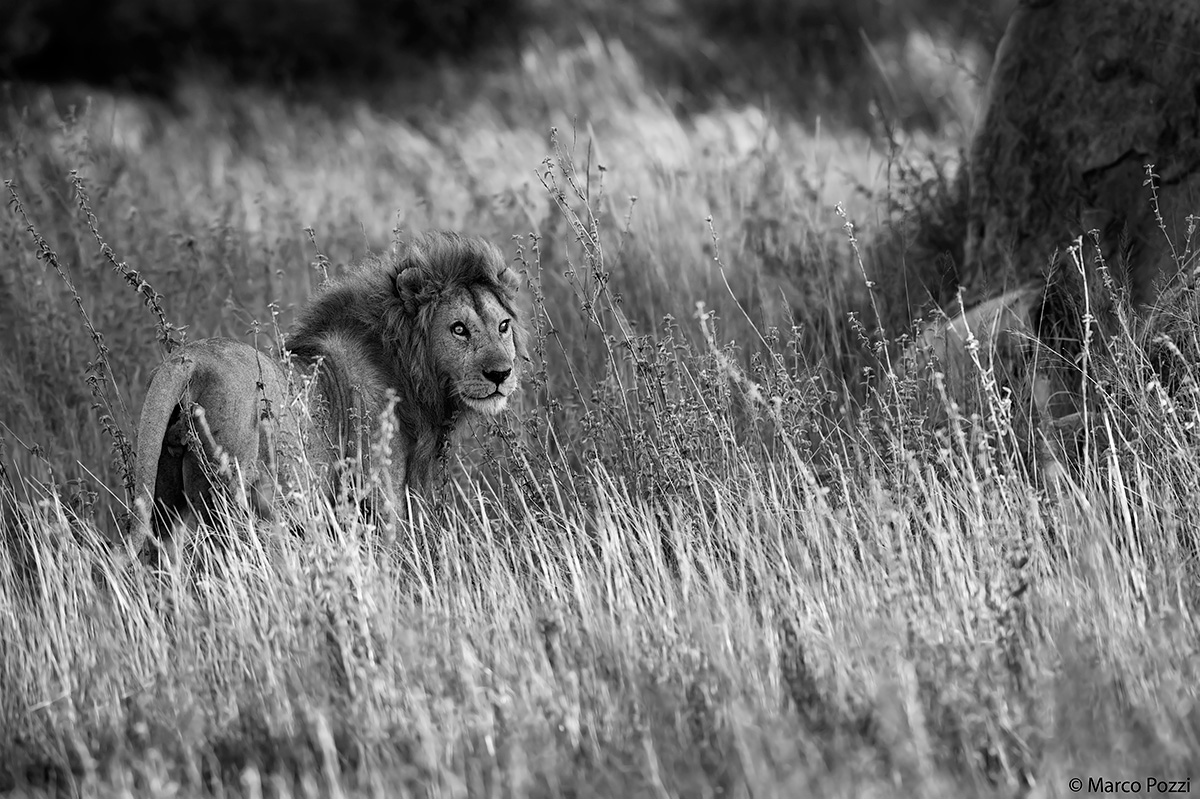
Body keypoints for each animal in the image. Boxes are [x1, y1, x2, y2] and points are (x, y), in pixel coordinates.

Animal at [128, 230, 528, 563]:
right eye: (458, 329)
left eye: (503, 326)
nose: (500, 374)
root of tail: (190, 360)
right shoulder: (379, 500)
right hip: (235, 503)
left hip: (166, 506)